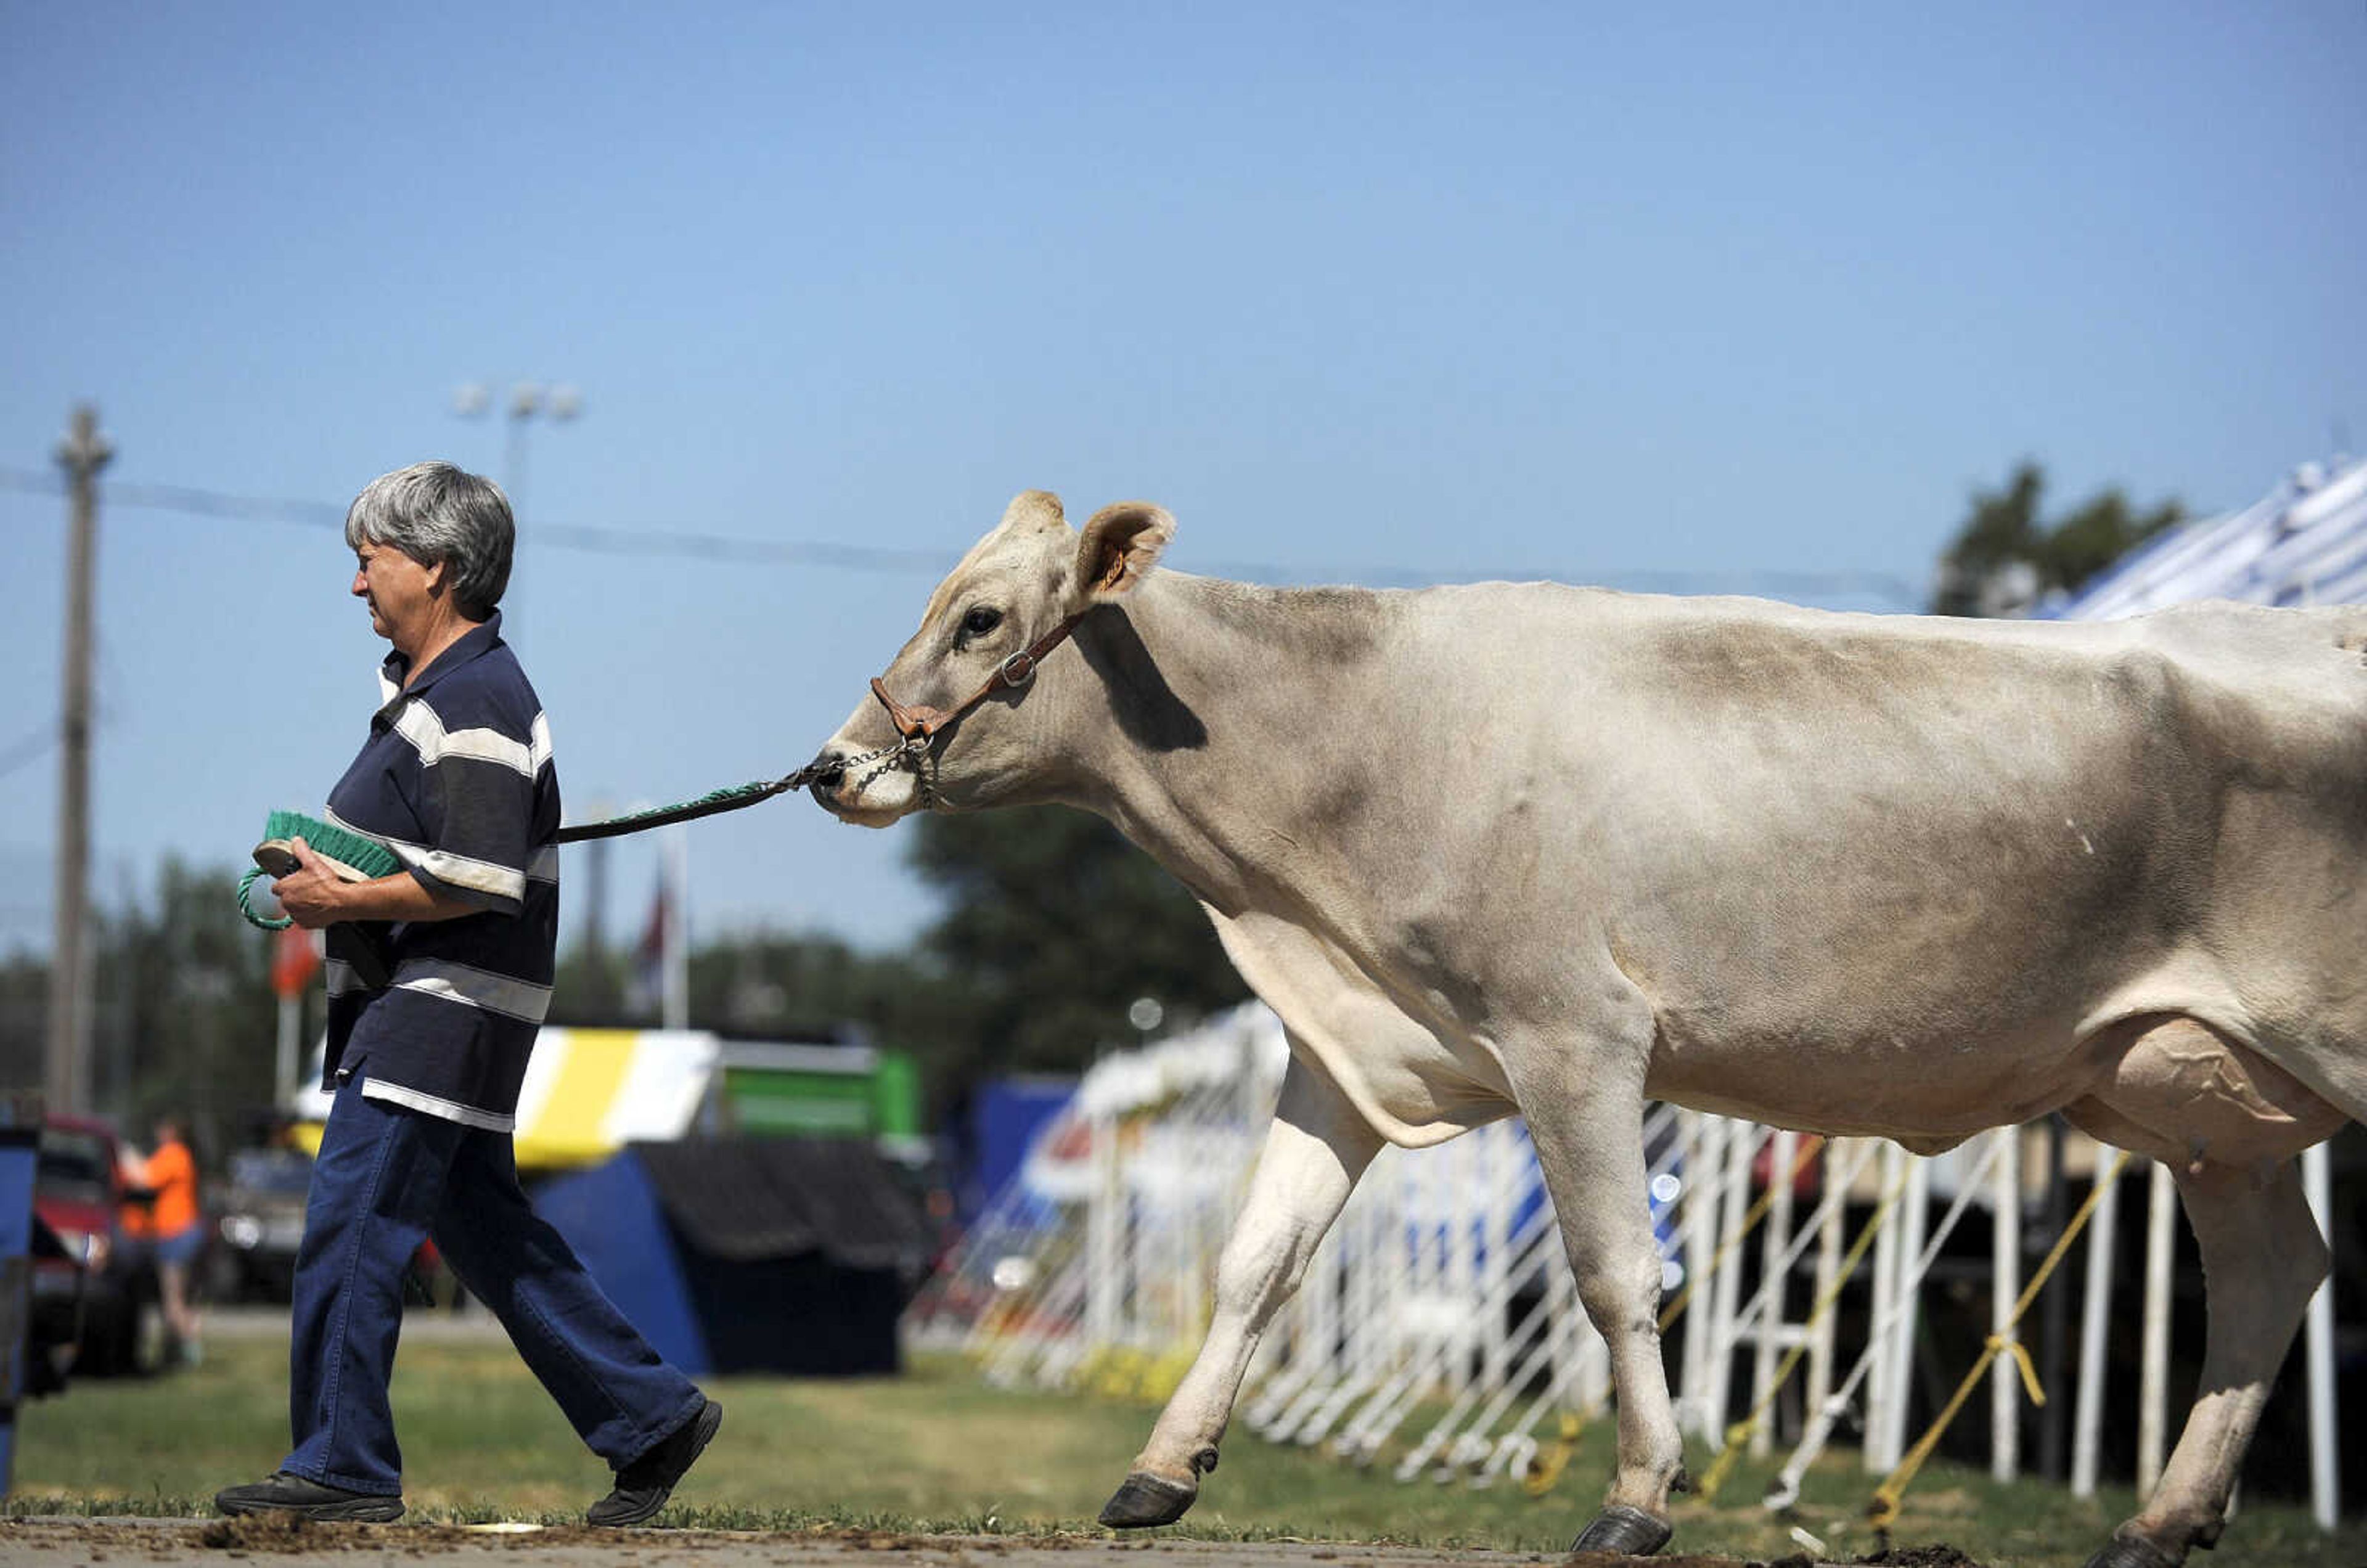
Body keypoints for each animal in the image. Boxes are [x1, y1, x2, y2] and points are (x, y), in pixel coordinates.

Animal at [809, 495, 2348, 1568]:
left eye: (983, 622)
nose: (832, 768)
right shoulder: (1352, 1047)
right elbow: (1256, 1263)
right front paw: (1160, 1470)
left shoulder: (1574, 1035)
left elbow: (1617, 1275)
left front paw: (1640, 1498)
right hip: (2205, 1102)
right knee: (2272, 1273)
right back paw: (2160, 1520)